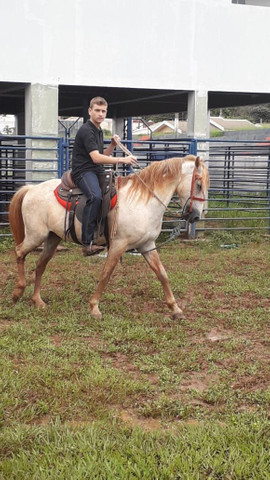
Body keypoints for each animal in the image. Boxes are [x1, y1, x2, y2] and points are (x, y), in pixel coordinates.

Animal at [8, 154, 209, 318]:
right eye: (198, 184)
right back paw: (17, 292)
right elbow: (106, 274)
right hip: (36, 235)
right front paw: (94, 307)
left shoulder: (147, 245)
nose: (196, 216)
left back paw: (37, 300)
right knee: (19, 252)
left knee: (40, 265)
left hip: (52, 238)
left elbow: (162, 274)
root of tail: (31, 189)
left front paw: (175, 309)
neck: (143, 201)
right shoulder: (118, 244)